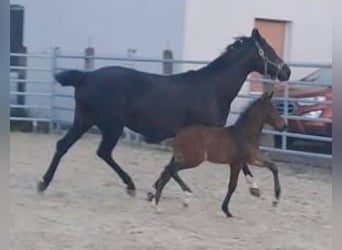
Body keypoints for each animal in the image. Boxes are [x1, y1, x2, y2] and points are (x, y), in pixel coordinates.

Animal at [151, 92, 288, 217]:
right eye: (272, 110)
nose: (284, 125)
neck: (243, 134)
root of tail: (178, 134)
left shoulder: (251, 159)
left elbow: (273, 167)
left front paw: (275, 199)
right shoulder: (238, 163)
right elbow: (232, 186)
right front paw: (226, 210)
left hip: (182, 158)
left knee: (166, 172)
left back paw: (156, 205)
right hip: (192, 160)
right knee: (171, 170)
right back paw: (186, 196)